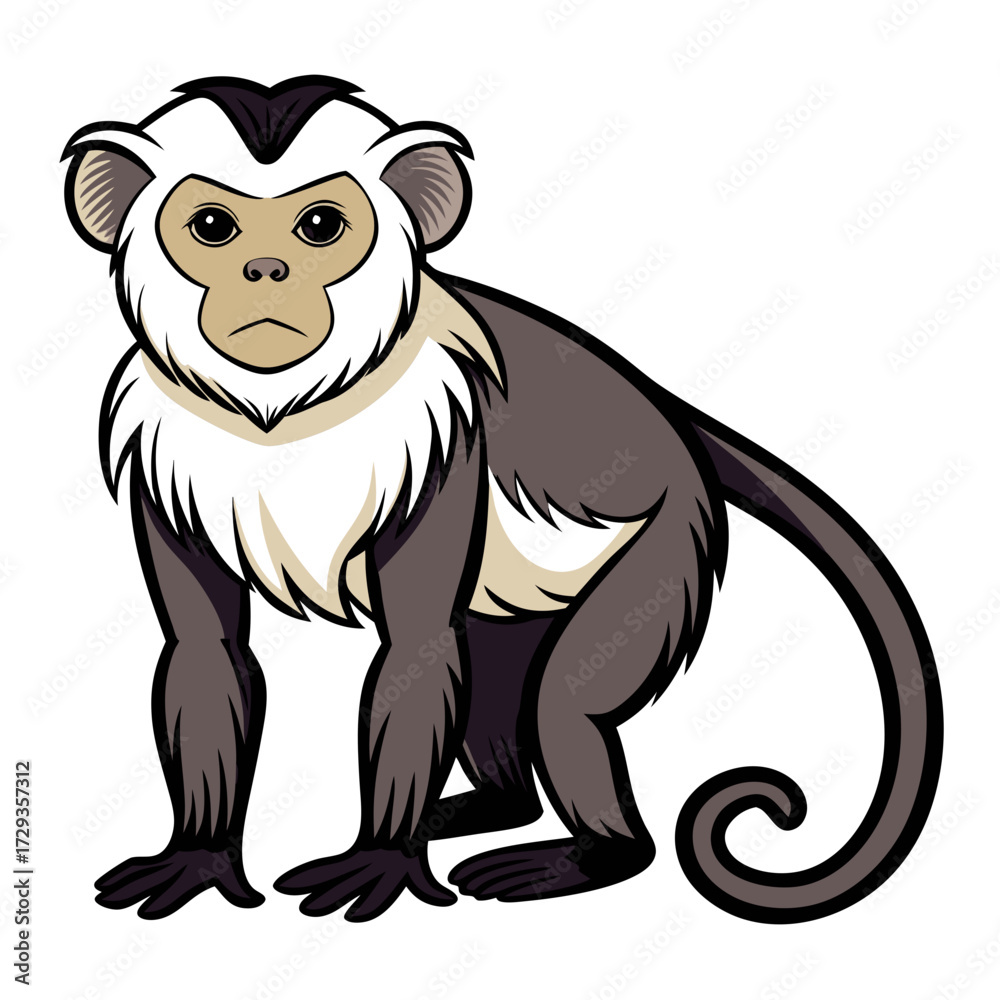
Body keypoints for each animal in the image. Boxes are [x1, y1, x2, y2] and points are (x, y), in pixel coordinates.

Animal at [62, 76, 942, 922]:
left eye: (320, 226)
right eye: (214, 226)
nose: (266, 271)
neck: (291, 406)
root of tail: (666, 414)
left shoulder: (443, 433)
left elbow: (417, 649)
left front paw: (383, 858)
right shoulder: (160, 445)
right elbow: (206, 650)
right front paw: (202, 856)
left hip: (669, 542)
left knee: (563, 704)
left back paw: (590, 854)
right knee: (493, 678)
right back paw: (488, 807)